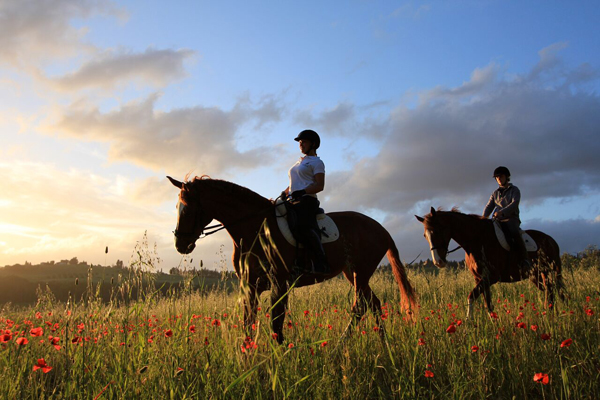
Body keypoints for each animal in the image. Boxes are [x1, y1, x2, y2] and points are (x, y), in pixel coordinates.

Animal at [166, 176, 414, 344]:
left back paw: (343, 344)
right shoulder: (250, 285)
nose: (180, 245)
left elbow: (276, 322)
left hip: (360, 273)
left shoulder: (280, 282)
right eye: (176, 207)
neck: (255, 228)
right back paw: (382, 341)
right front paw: (247, 359)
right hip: (353, 273)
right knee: (373, 304)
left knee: (360, 307)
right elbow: (249, 323)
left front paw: (282, 356)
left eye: (187, 210)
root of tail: (381, 229)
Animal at [414, 208, 564, 318]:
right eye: (425, 235)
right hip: (536, 275)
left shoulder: (491, 277)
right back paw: (548, 312)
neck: (477, 240)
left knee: (552, 290)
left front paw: (469, 321)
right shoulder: (480, 278)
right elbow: (488, 303)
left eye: (437, 231)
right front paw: (492, 322)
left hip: (549, 270)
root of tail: (551, 239)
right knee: (549, 290)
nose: (438, 262)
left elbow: (471, 296)